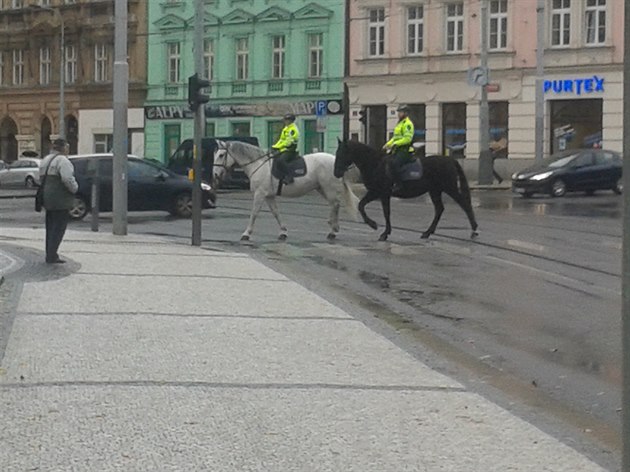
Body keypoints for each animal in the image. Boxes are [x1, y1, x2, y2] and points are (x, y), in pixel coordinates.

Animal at [214, 141, 358, 242]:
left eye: (221, 155)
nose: (215, 174)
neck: (258, 165)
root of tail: (335, 160)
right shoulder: (269, 196)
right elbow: (276, 213)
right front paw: (283, 232)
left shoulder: (260, 194)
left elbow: (254, 213)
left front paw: (246, 233)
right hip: (321, 188)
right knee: (334, 204)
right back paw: (333, 228)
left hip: (329, 188)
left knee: (335, 204)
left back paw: (333, 230)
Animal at [336, 139, 478, 242]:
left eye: (342, 153)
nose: (336, 173)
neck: (376, 164)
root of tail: (451, 159)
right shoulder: (376, 193)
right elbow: (363, 205)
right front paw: (377, 227)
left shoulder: (381, 193)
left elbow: (383, 212)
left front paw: (380, 230)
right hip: (435, 191)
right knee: (439, 209)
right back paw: (427, 232)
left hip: (450, 188)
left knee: (464, 204)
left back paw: (474, 231)